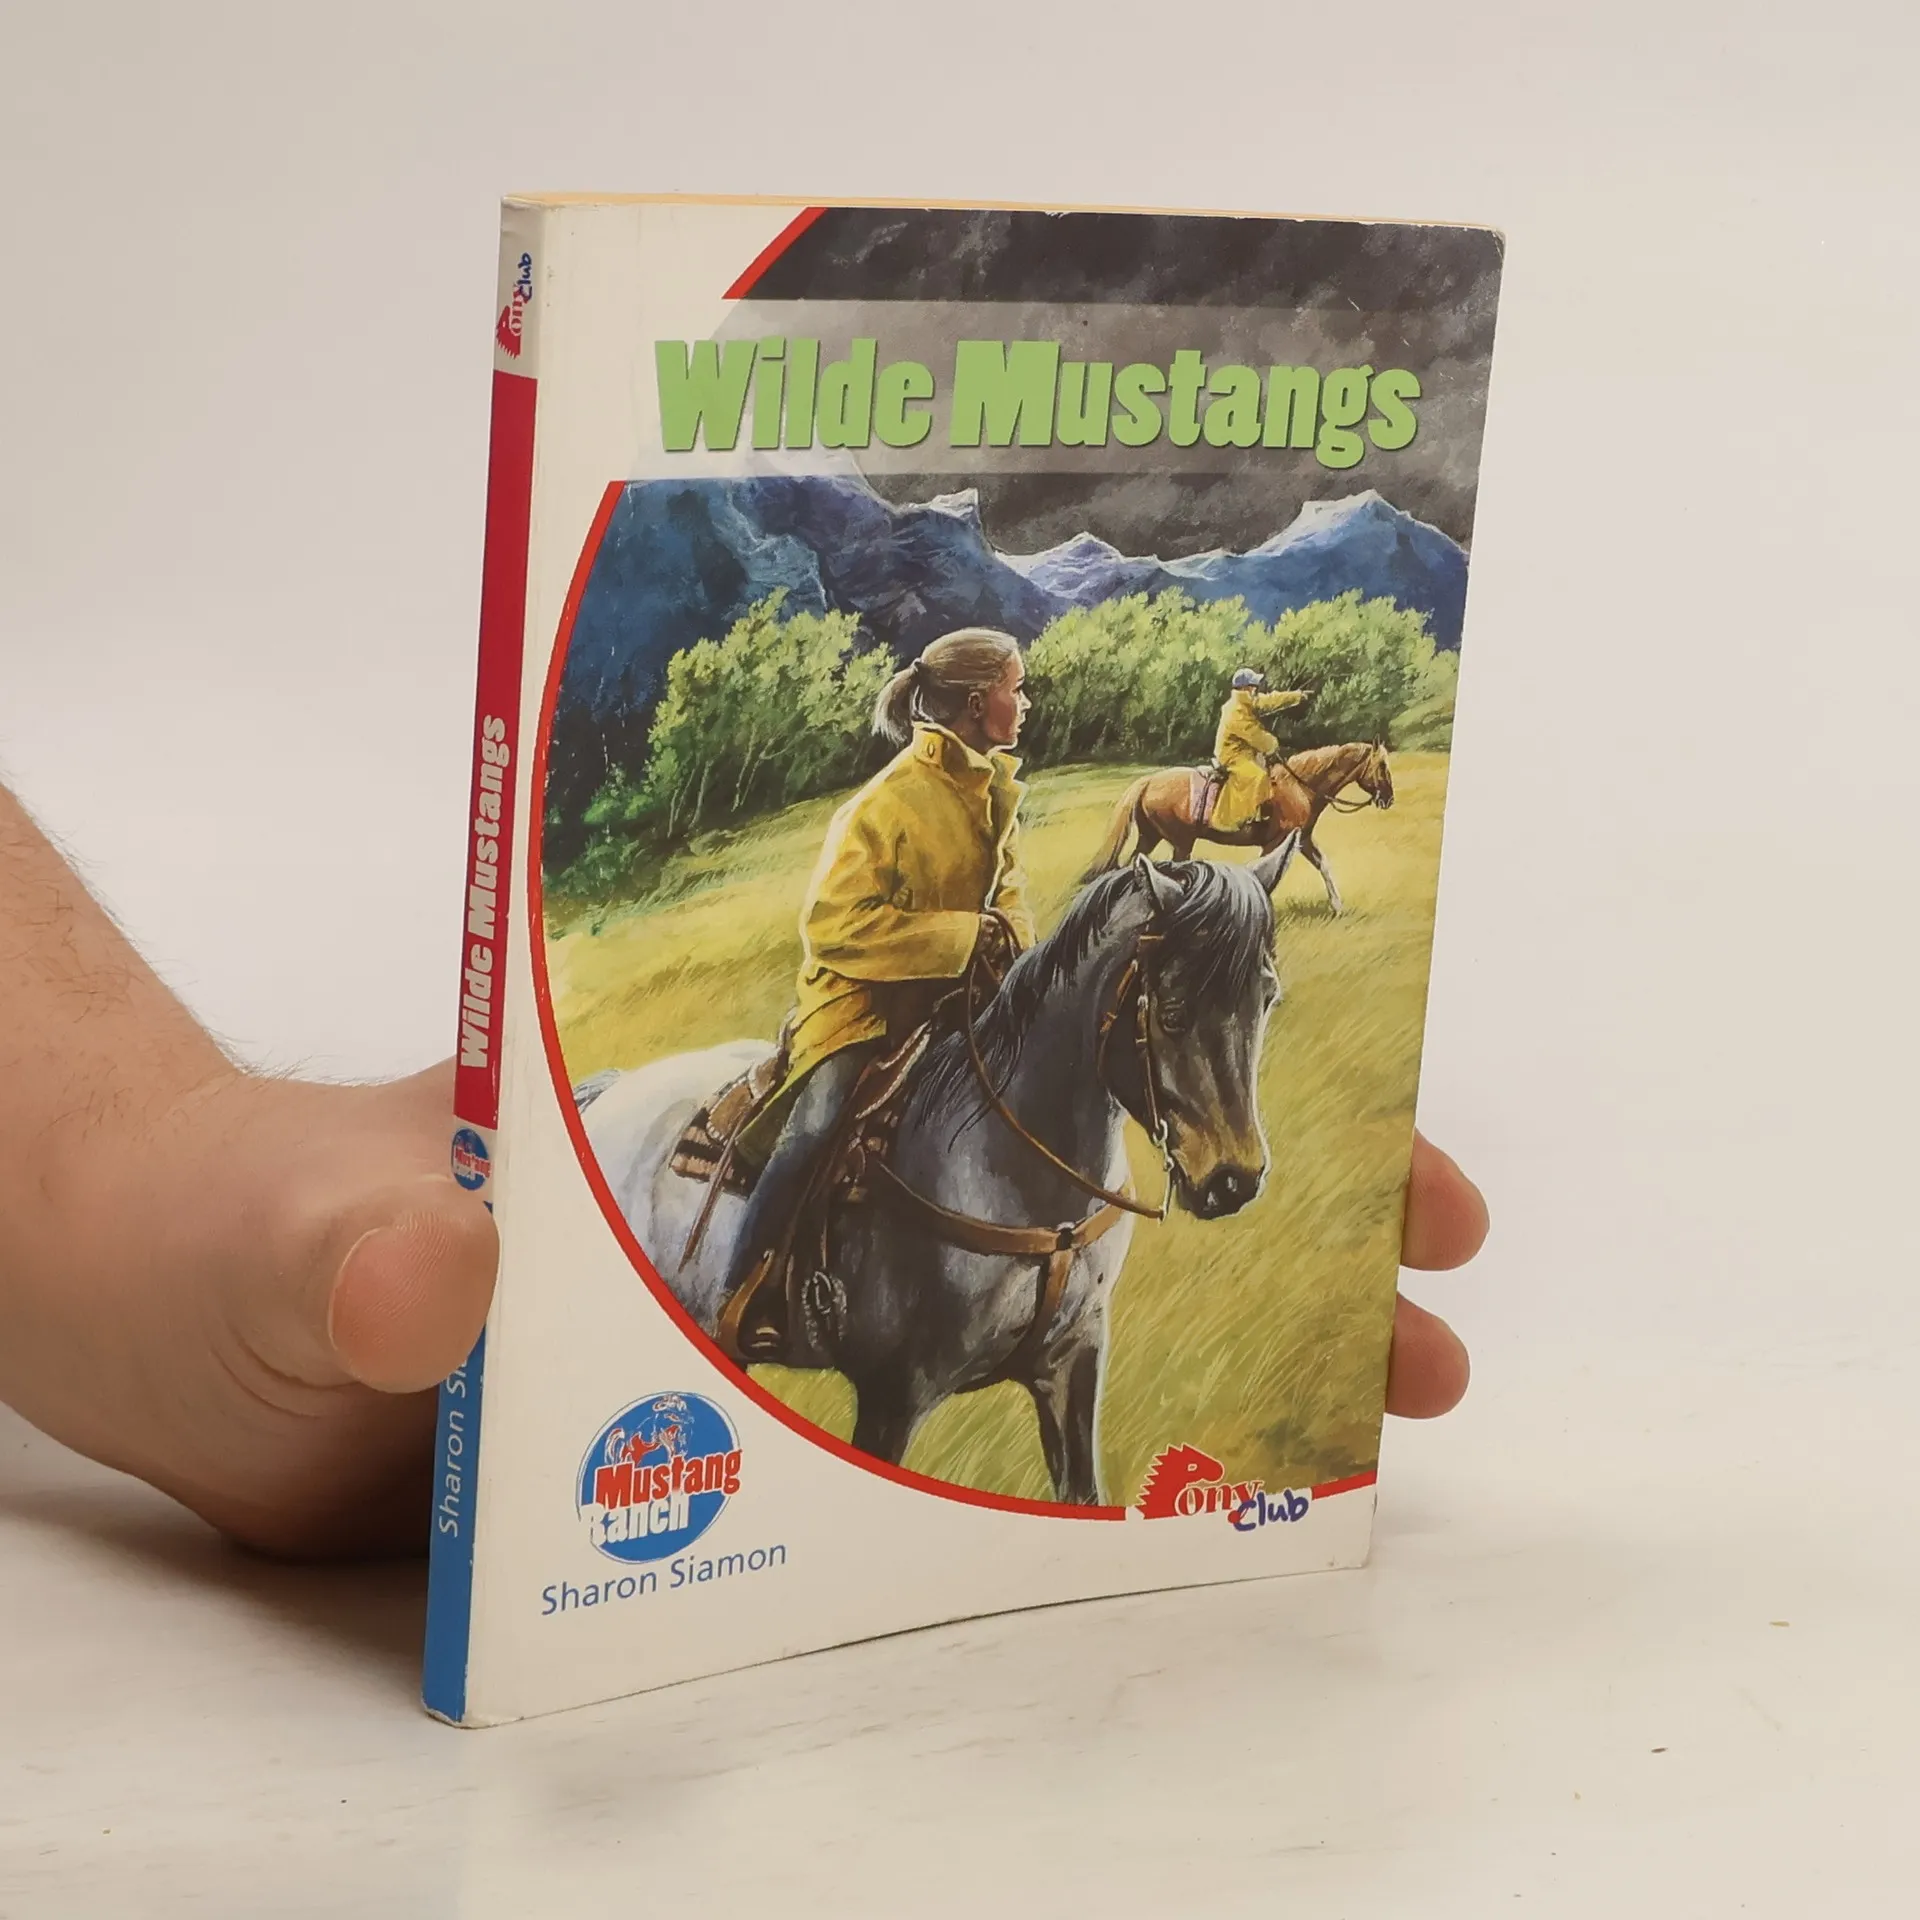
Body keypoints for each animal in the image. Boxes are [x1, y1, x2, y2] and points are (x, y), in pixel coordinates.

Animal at [576, 842, 1298, 1507]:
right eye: (1171, 1012)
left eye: (1268, 999)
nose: (1234, 1178)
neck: (1020, 1176)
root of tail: (611, 1093)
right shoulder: (893, 1397)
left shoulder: (1073, 1365)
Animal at [1086, 742, 1394, 915]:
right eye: (1382, 766)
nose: (1389, 798)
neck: (1299, 786)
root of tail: (1148, 781)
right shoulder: (1276, 843)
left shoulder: (1303, 840)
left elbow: (1324, 866)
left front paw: (1338, 907)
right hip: (1180, 842)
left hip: (1150, 837)